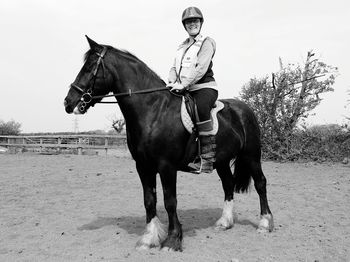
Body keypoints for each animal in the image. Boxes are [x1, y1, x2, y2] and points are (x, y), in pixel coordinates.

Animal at [64, 35, 274, 251]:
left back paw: (265, 223)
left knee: (260, 183)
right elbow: (149, 200)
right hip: (221, 161)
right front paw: (149, 238)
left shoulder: (166, 166)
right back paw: (225, 222)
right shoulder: (143, 166)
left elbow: (169, 201)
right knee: (228, 185)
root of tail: (244, 109)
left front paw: (173, 239)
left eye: (89, 67)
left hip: (251, 156)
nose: (68, 102)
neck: (154, 110)